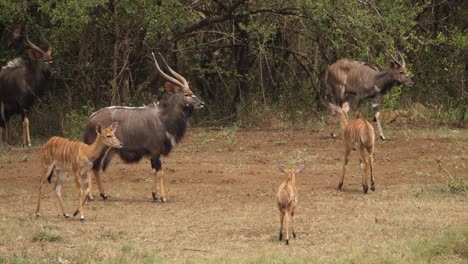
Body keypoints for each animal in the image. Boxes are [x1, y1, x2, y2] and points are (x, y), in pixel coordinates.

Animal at [83, 52, 204, 203]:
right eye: (187, 94)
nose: (202, 103)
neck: (163, 118)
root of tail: (90, 119)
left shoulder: (153, 153)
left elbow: (154, 171)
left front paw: (154, 195)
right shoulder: (155, 150)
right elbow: (160, 171)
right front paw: (163, 197)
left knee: (96, 168)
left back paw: (104, 195)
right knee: (90, 166)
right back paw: (90, 196)